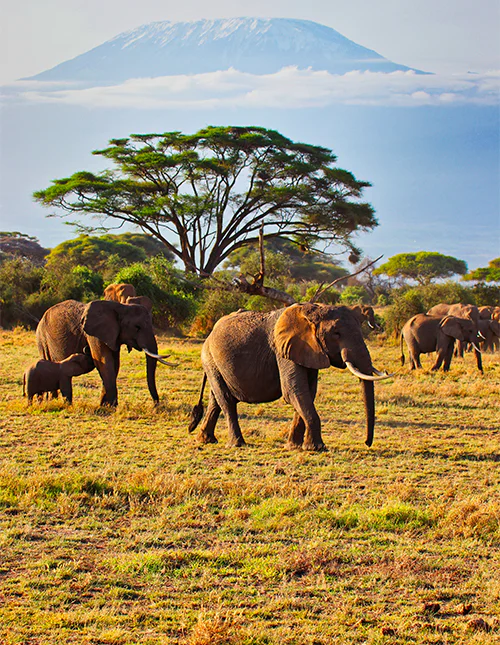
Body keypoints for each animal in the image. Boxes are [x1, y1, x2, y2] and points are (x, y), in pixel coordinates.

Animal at [36, 299, 173, 406]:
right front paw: (112, 406)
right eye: (137, 327)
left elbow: (115, 364)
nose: (156, 405)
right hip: (42, 338)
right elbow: (104, 361)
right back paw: (50, 402)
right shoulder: (94, 334)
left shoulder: (113, 335)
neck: (121, 307)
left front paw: (105, 405)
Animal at [189, 304, 391, 451]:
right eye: (336, 333)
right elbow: (293, 391)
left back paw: (205, 440)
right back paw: (236, 444)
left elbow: (307, 392)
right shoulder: (284, 350)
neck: (312, 311)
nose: (366, 443)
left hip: (215, 363)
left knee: (216, 399)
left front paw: (294, 446)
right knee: (226, 400)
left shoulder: (309, 351)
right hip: (209, 358)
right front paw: (316, 448)